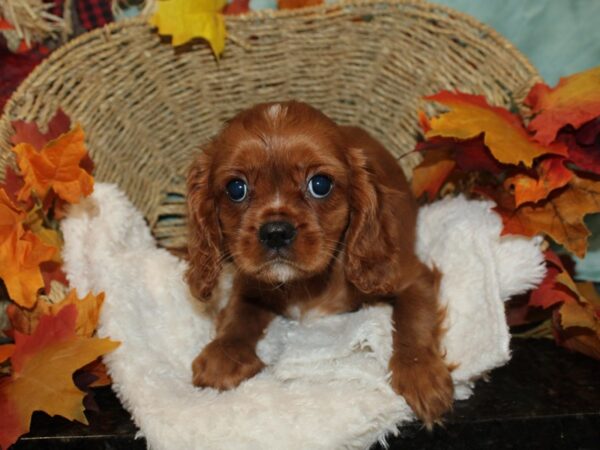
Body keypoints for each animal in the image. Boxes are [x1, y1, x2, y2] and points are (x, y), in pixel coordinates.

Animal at [185, 101, 452, 426]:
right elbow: (239, 314)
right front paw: (223, 354)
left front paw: (421, 373)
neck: (304, 284)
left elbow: (414, 317)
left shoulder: (410, 276)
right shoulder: (248, 283)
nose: (276, 232)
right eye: (237, 188)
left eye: (320, 185)